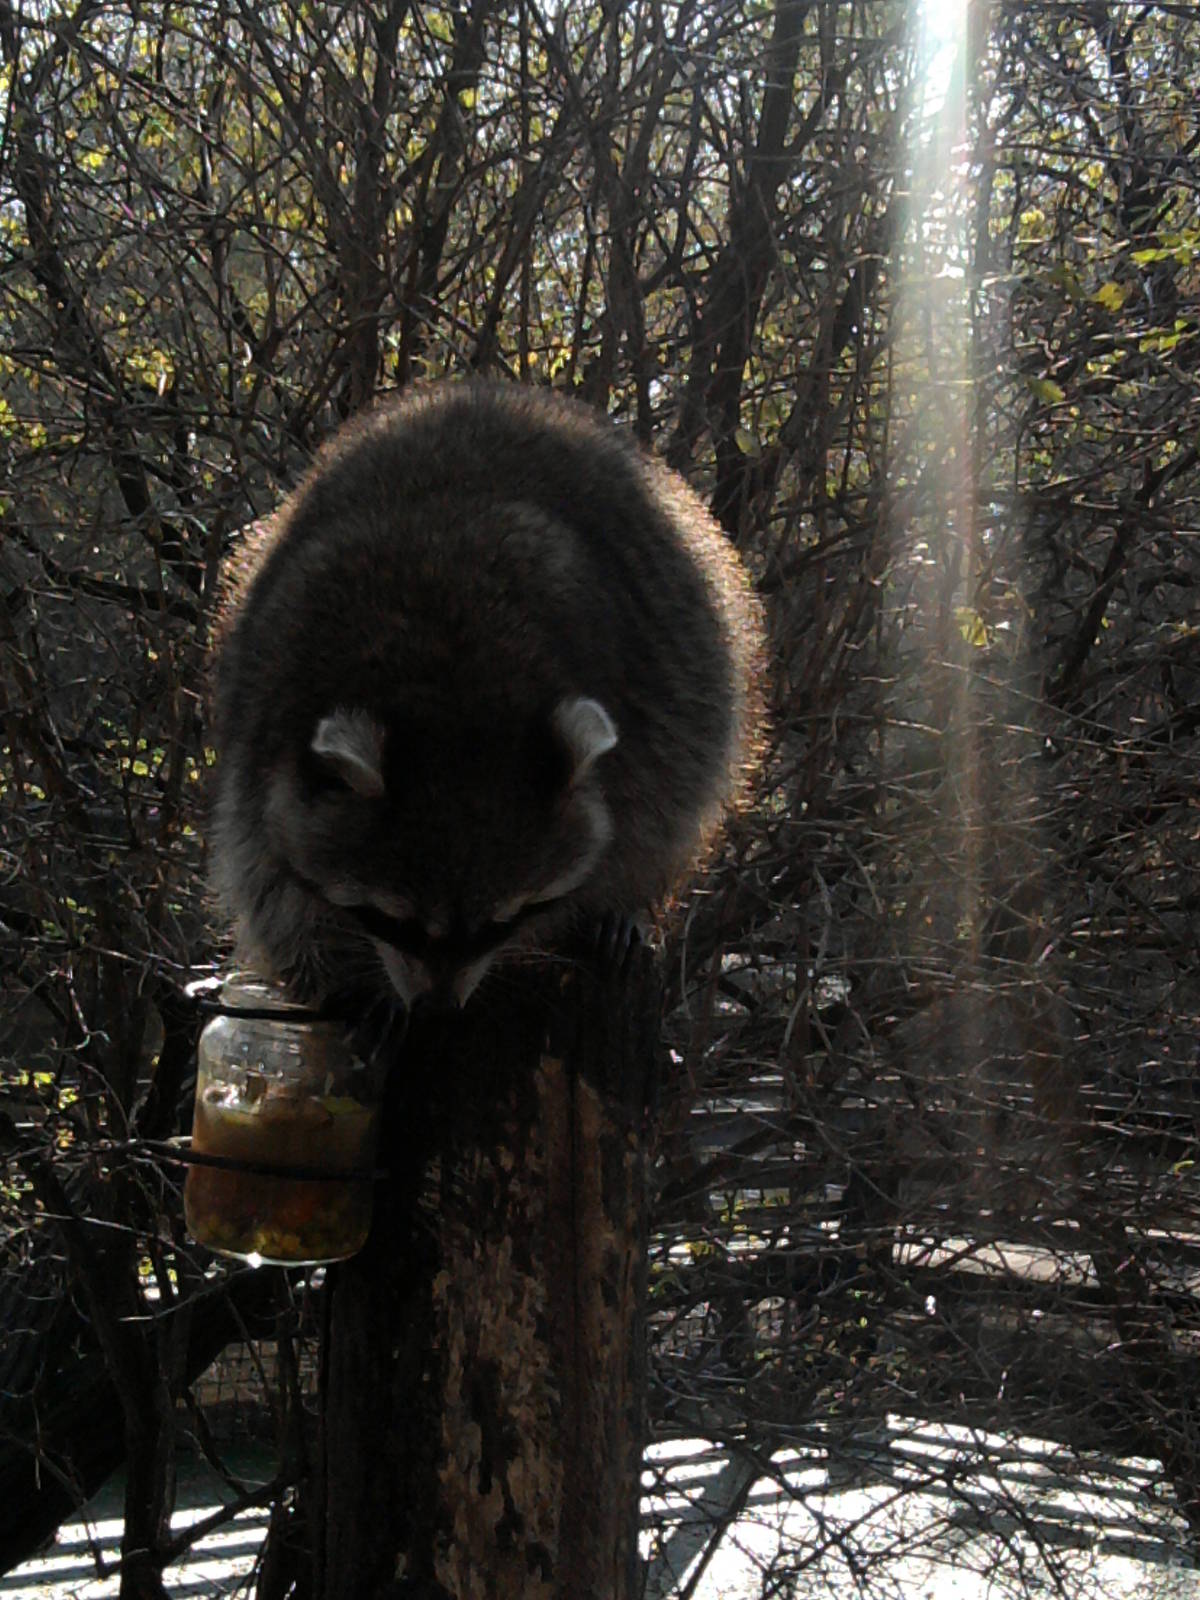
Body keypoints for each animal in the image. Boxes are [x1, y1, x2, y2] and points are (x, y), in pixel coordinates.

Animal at [211, 383, 764, 1011]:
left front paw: (610, 898)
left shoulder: (639, 708)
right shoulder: (269, 702)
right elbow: (262, 866)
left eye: (504, 921)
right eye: (391, 919)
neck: (451, 690)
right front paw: (323, 962)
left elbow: (645, 812)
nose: (437, 1010)